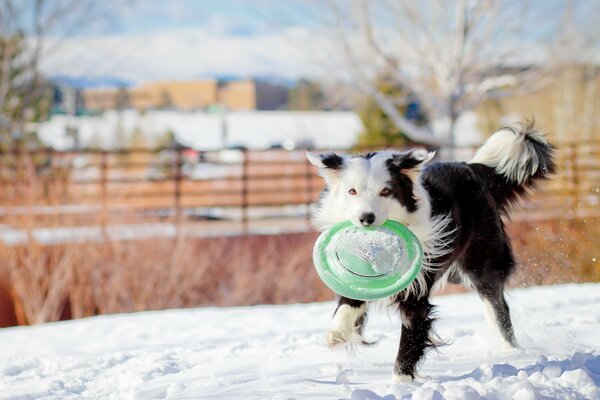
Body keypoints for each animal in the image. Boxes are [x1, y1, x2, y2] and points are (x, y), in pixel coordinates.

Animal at [308, 121, 556, 382]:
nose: (366, 218)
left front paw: (401, 383)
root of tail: (470, 167)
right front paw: (336, 334)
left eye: (386, 191)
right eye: (352, 191)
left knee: (497, 305)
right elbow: (348, 304)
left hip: (483, 260)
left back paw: (512, 352)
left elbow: (410, 340)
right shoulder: (357, 278)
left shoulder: (416, 293)